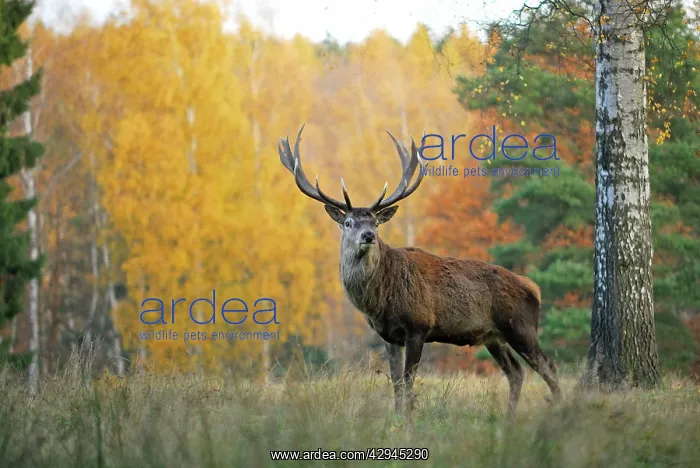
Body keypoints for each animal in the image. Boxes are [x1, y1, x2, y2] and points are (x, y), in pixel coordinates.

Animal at [277, 125, 562, 418]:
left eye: (376, 223)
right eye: (348, 222)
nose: (368, 236)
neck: (379, 301)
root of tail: (533, 287)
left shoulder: (418, 326)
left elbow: (408, 382)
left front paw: (406, 419)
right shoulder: (389, 336)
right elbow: (395, 382)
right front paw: (396, 418)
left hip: (520, 325)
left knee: (549, 367)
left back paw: (560, 409)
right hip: (494, 337)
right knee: (515, 372)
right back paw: (508, 419)